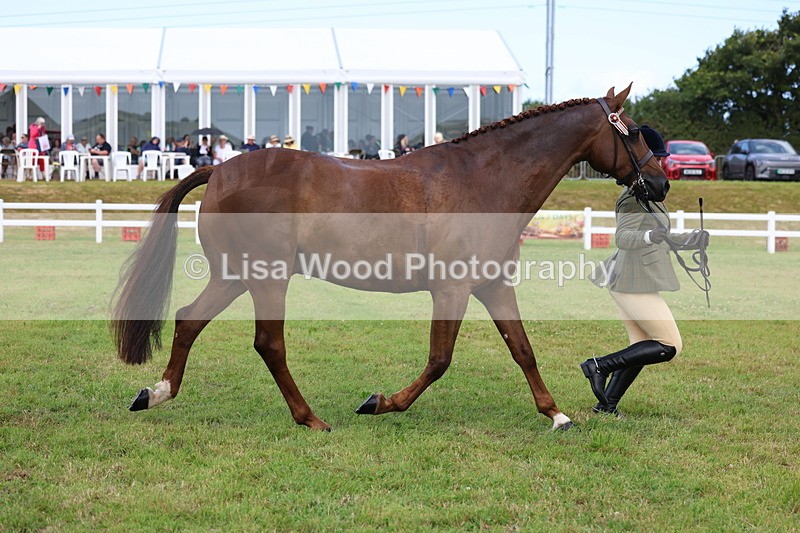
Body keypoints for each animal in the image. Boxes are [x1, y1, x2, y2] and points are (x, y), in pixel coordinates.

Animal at [113, 84, 669, 432]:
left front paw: (556, 414)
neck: (482, 179)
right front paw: (381, 403)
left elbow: (523, 350)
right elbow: (440, 360)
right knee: (269, 344)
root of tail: (222, 171)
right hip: (266, 277)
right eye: (632, 130)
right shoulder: (452, 289)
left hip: (235, 275)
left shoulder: (492, 285)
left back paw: (156, 393)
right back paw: (310, 418)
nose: (661, 182)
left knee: (189, 320)